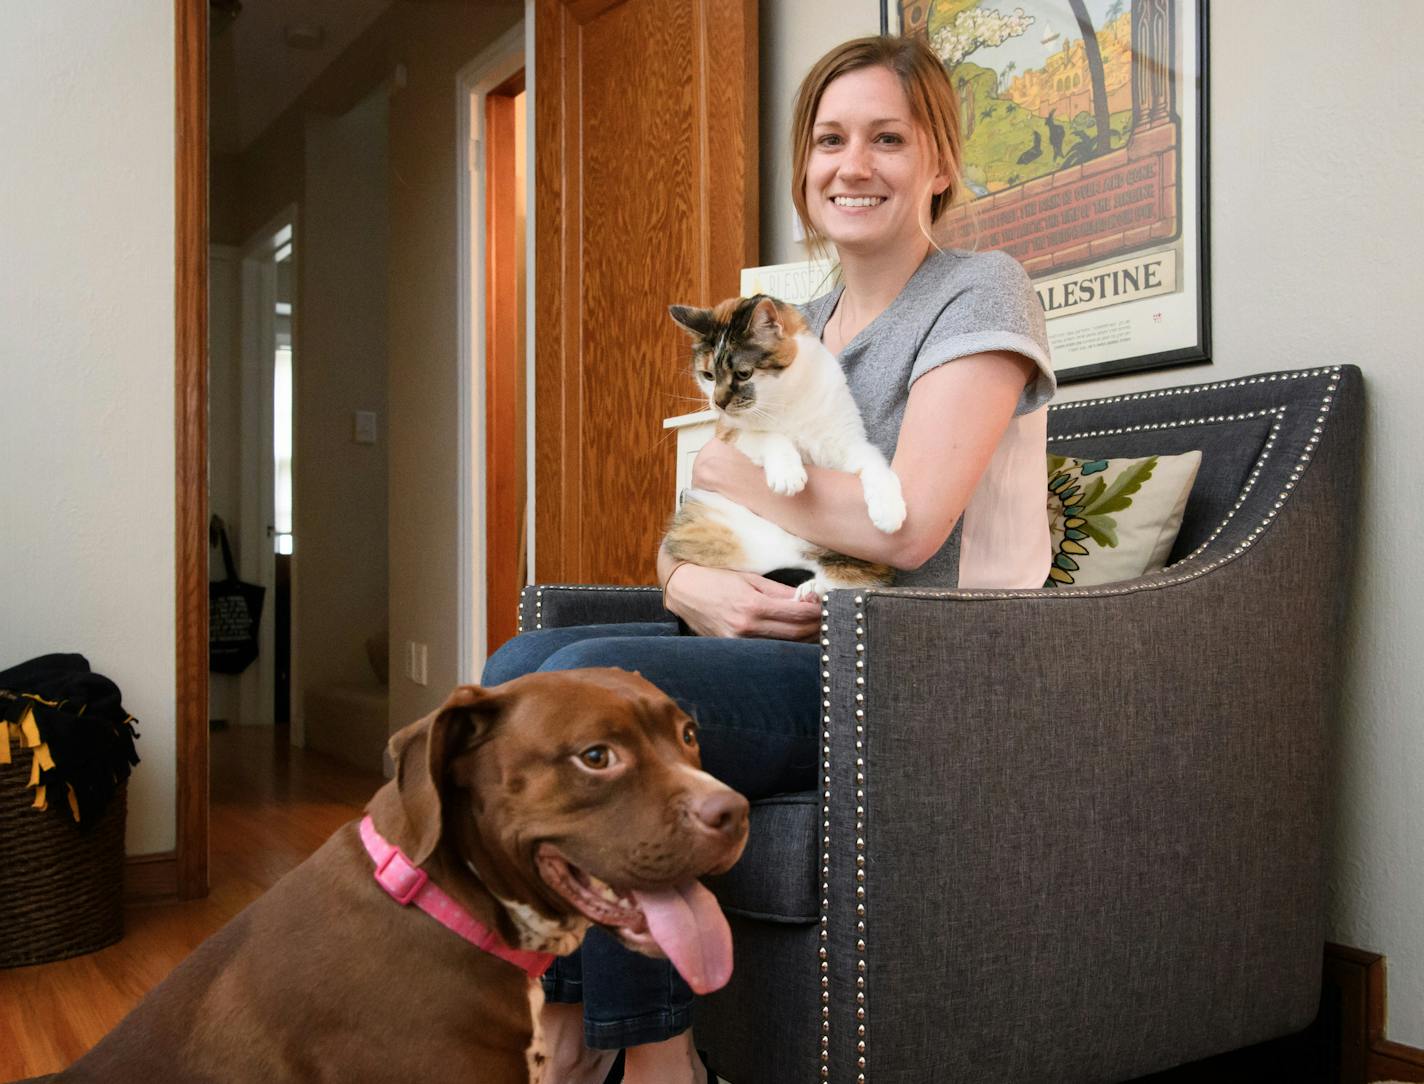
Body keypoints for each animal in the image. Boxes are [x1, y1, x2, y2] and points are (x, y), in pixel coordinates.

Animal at [663, 293, 905, 601]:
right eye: (708, 375)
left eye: (744, 373)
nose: (718, 403)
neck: (785, 399)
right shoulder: (729, 432)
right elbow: (770, 437)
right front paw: (788, 475)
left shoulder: (847, 440)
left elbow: (875, 464)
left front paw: (889, 511)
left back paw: (814, 588)